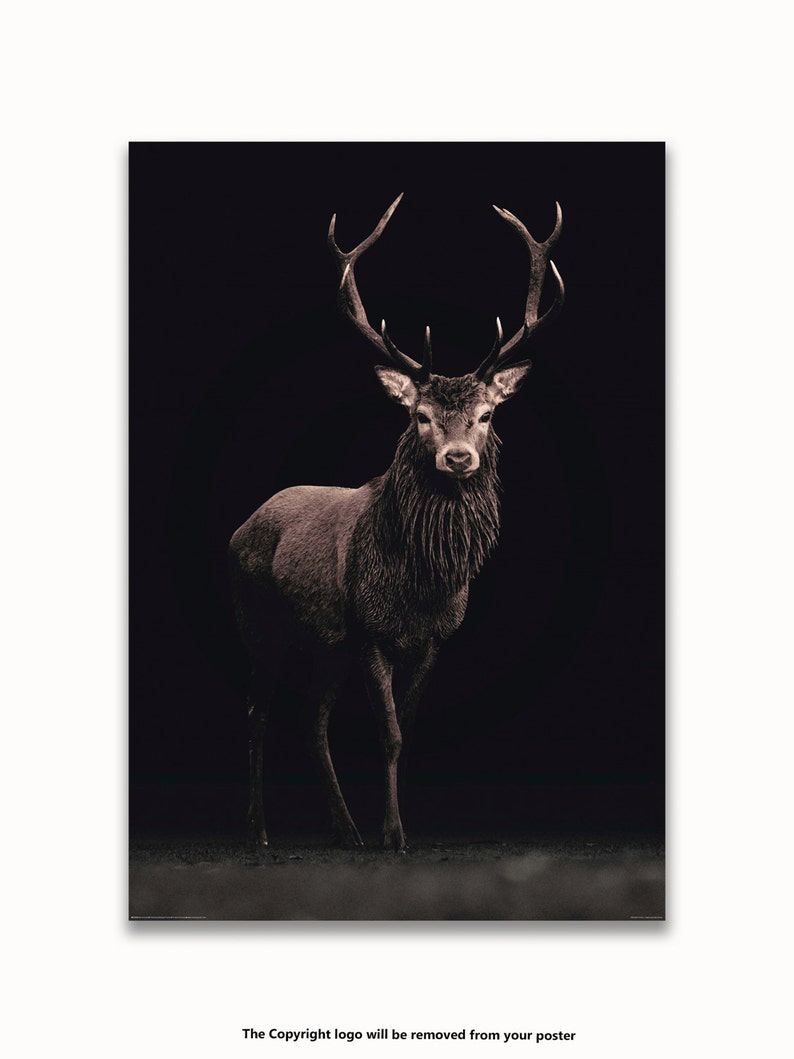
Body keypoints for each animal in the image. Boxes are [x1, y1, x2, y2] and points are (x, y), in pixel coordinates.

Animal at [229, 194, 564, 851]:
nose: (457, 458)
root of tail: (241, 527)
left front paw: (391, 826)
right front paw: (394, 834)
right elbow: (387, 732)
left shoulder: (432, 639)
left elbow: (404, 732)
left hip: (326, 641)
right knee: (257, 712)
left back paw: (345, 829)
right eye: (421, 415)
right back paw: (258, 829)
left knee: (313, 717)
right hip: (261, 620)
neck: (420, 585)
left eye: (486, 414)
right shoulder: (371, 631)